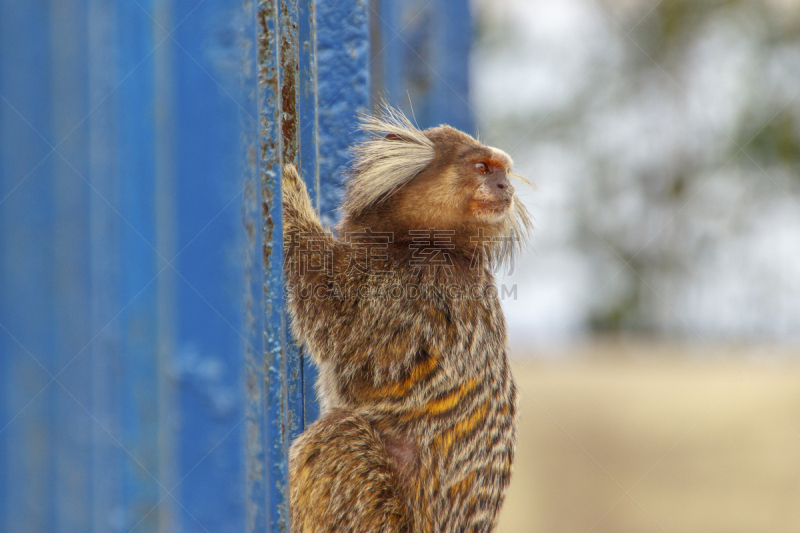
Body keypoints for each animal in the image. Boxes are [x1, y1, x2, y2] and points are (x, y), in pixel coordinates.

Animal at [282, 105, 532, 532]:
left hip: (379, 513)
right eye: (483, 168)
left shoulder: (418, 288)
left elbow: (340, 331)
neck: (427, 243)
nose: (505, 187)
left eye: (501, 172)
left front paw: (290, 200)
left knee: (338, 437)